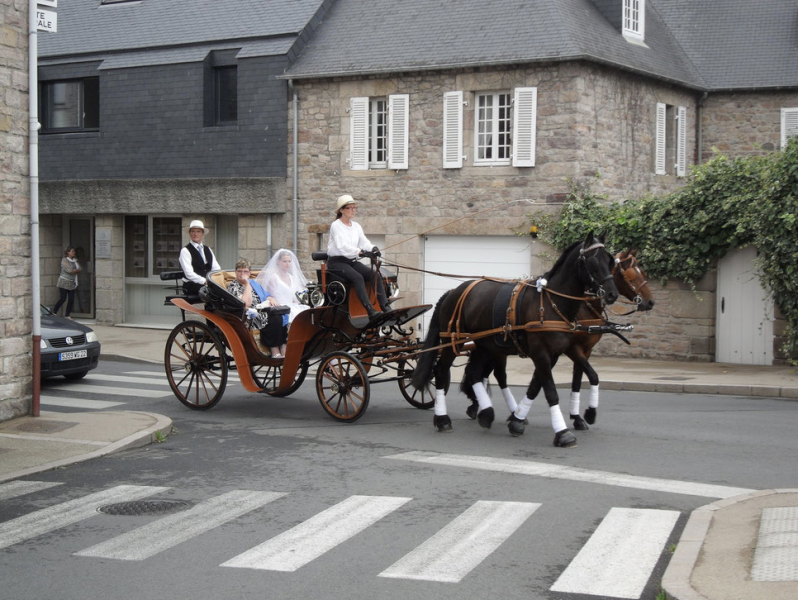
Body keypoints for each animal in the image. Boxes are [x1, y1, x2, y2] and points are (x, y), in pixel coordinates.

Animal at [416, 232, 620, 448]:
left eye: (610, 261)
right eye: (593, 261)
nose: (612, 294)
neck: (551, 304)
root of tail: (452, 292)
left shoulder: (560, 352)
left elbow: (541, 385)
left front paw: (518, 420)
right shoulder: (541, 353)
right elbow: (550, 391)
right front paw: (562, 432)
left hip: (486, 345)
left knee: (474, 372)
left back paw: (486, 413)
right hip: (455, 341)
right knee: (441, 371)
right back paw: (442, 419)